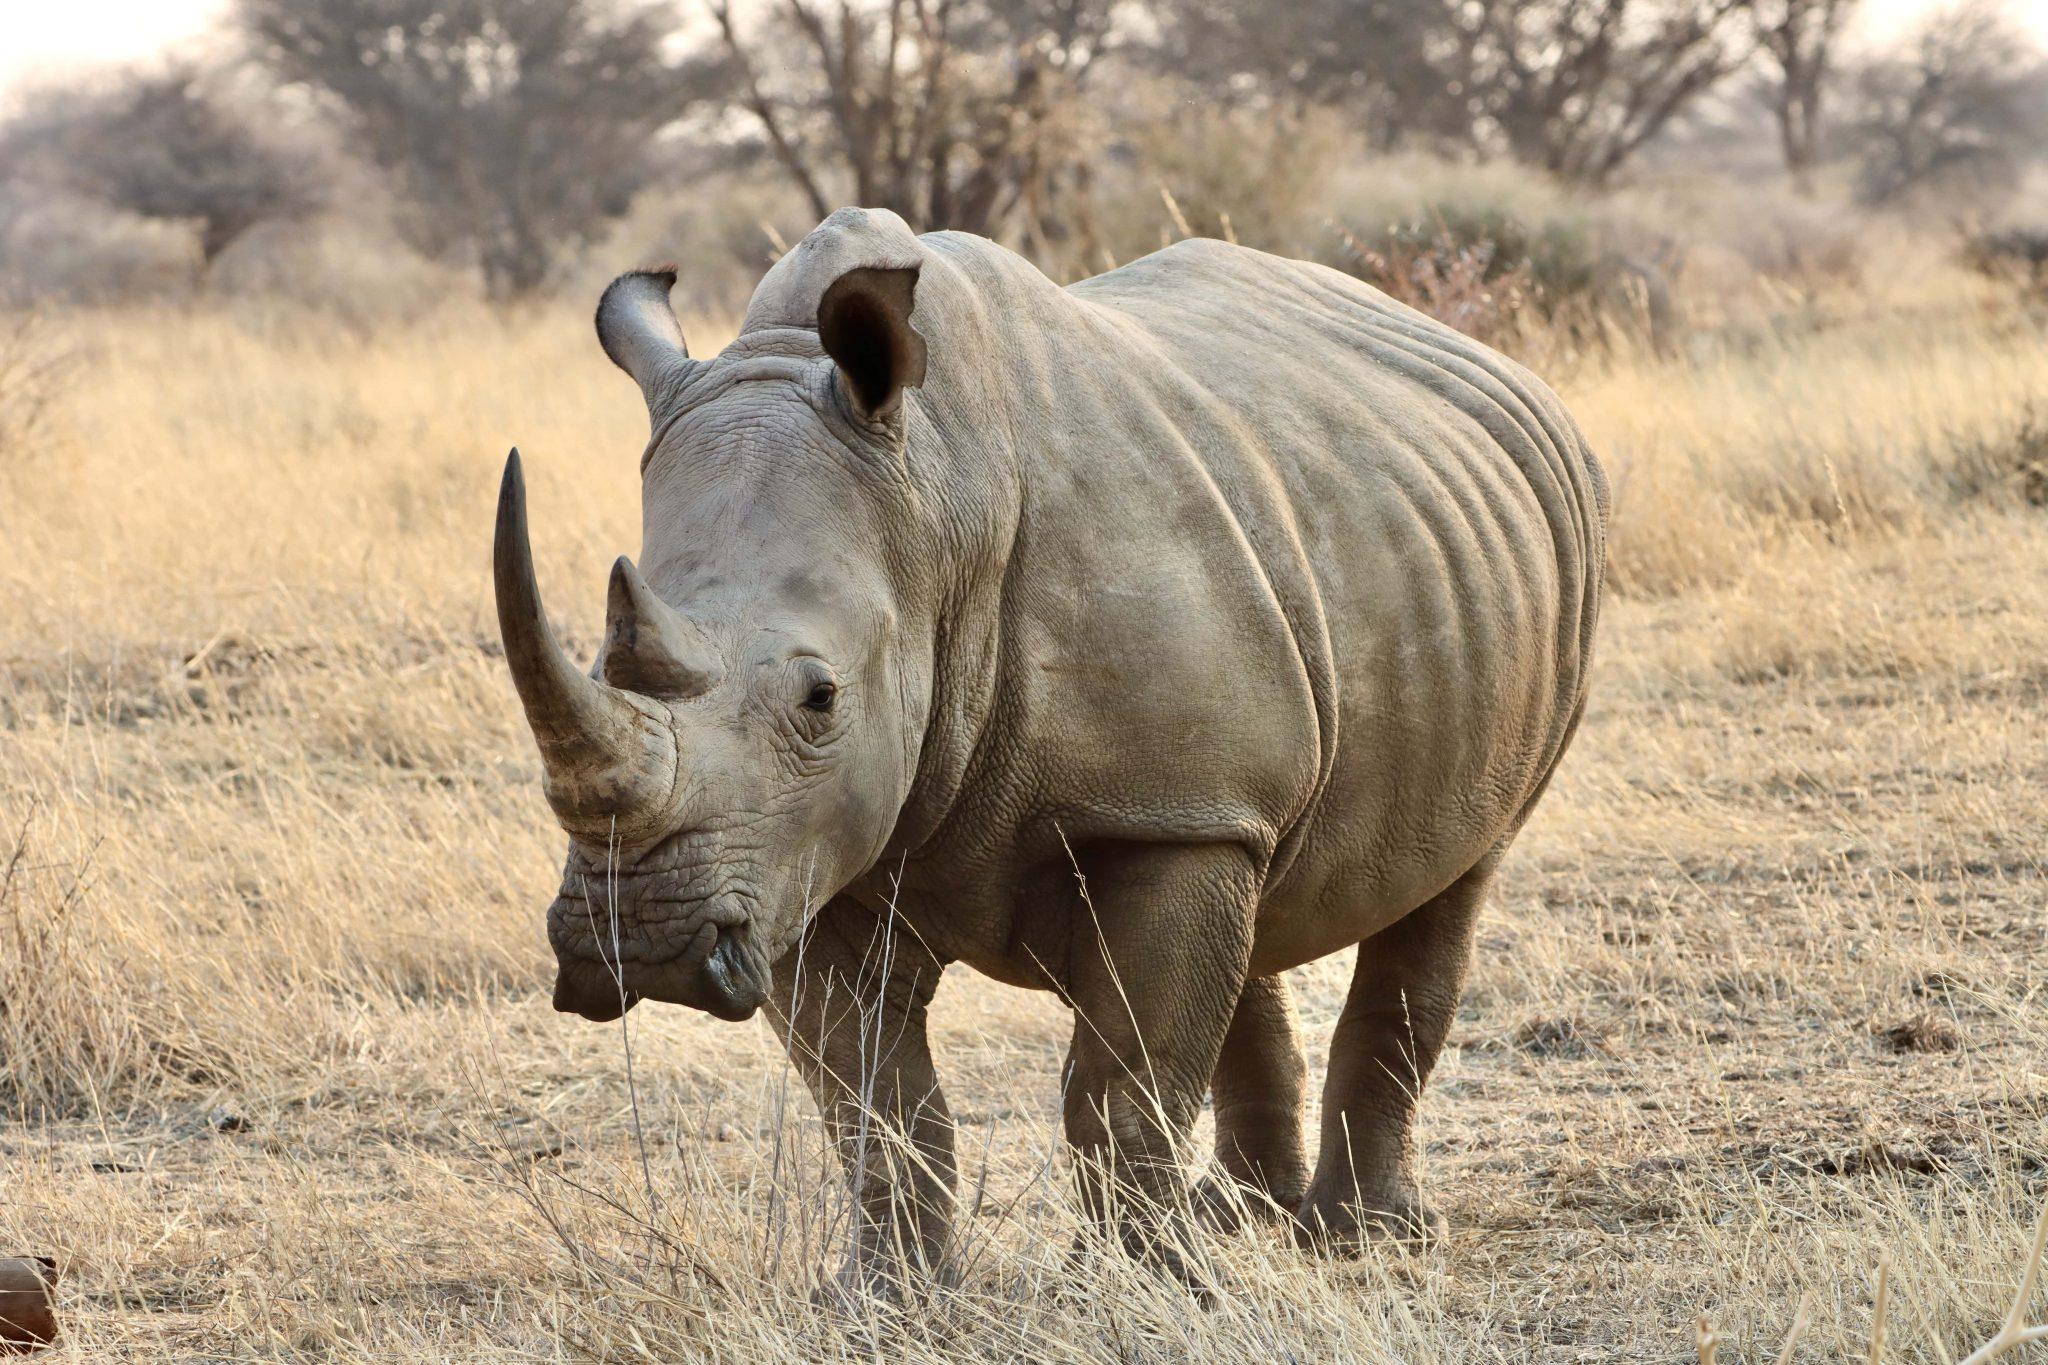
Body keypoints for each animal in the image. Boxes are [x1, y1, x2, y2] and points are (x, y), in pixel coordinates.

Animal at [494, 207, 1607, 1289]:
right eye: (597, 661)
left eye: (819, 698)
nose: (640, 944)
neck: (935, 497)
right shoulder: (795, 850)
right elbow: (874, 1104)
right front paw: (885, 1301)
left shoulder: (1147, 812)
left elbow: (1123, 1082)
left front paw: (1144, 1295)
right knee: (1255, 889)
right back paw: (1242, 1218)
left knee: (1454, 873)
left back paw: (1363, 1239)